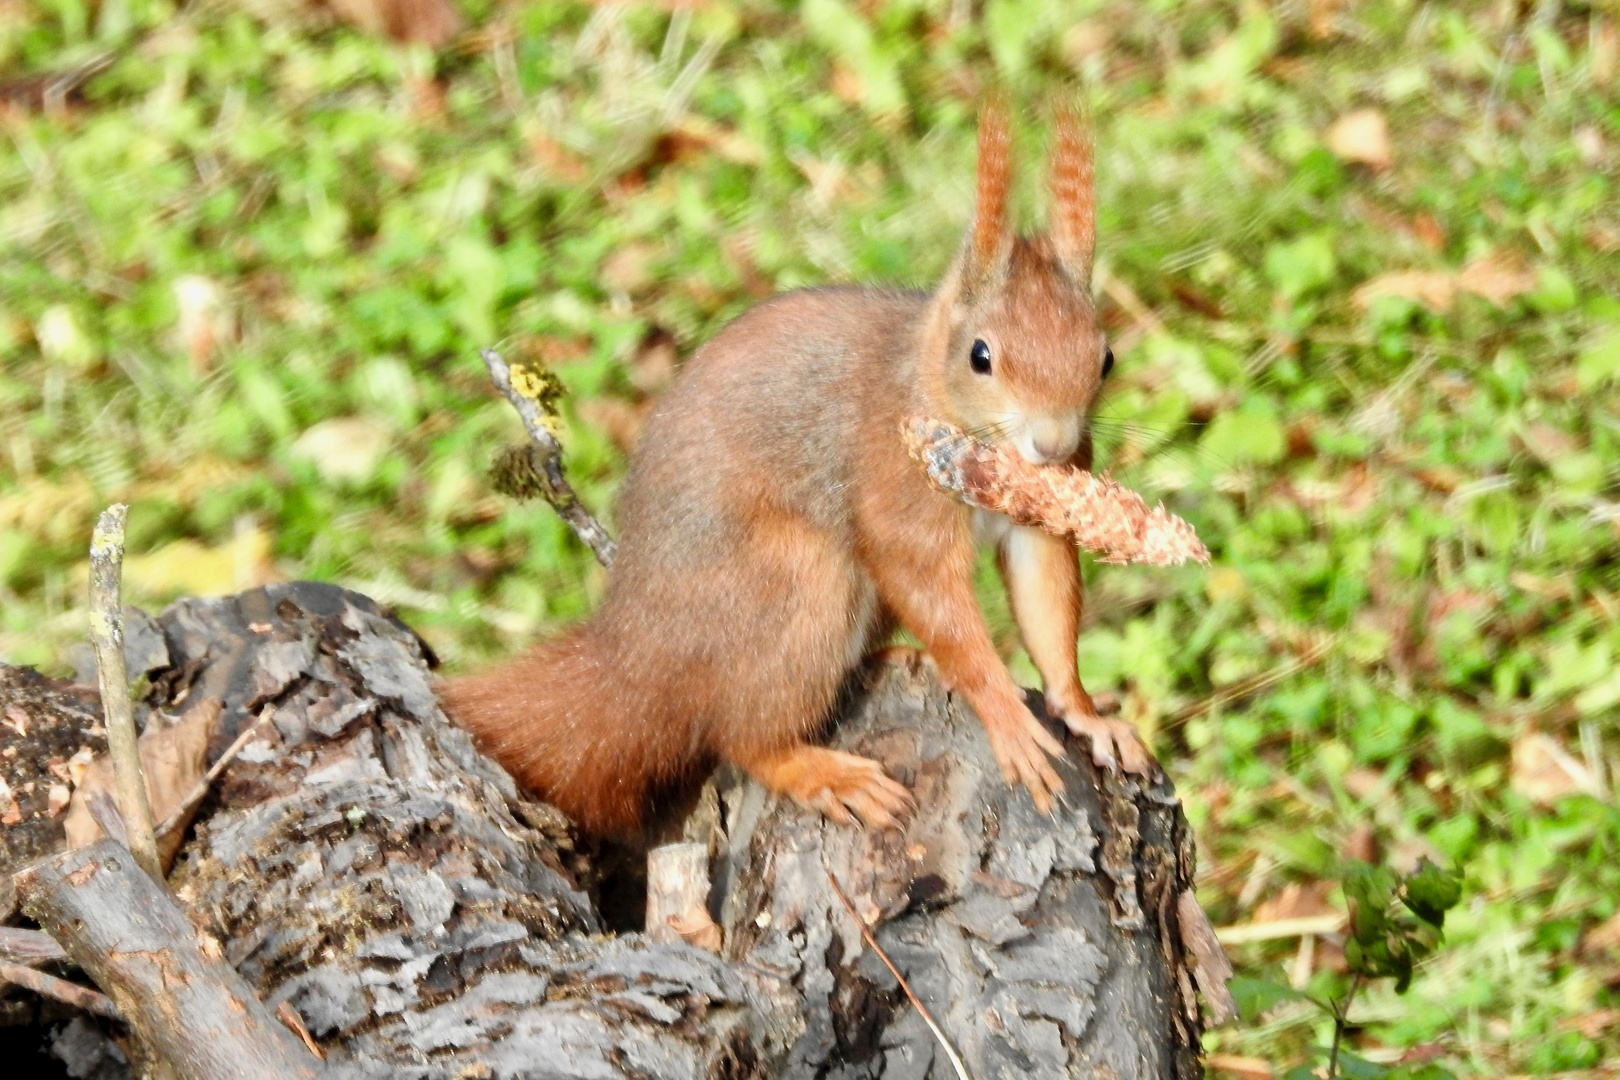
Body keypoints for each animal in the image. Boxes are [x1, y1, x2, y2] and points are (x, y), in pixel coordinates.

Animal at [443, 103, 1153, 841]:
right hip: (795, 587)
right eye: (980, 356)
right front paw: (1009, 719)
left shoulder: (1042, 514)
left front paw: (1086, 716)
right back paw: (820, 772)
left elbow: (1048, 609)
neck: (931, 390)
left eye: (1104, 358)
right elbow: (929, 587)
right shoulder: (893, 488)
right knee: (744, 738)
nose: (1053, 444)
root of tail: (639, 657)